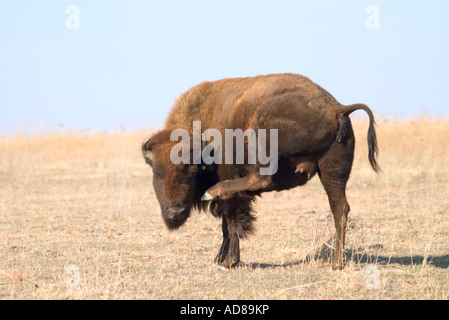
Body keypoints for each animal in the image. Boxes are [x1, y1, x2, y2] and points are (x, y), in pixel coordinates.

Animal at [143, 73, 378, 270]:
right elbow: (226, 225)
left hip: (261, 134)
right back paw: (337, 263)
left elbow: (232, 223)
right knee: (340, 209)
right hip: (332, 171)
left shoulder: (231, 187)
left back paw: (213, 191)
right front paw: (221, 258)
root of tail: (337, 108)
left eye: (192, 171)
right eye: (157, 173)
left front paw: (229, 261)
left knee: (261, 178)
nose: (175, 212)